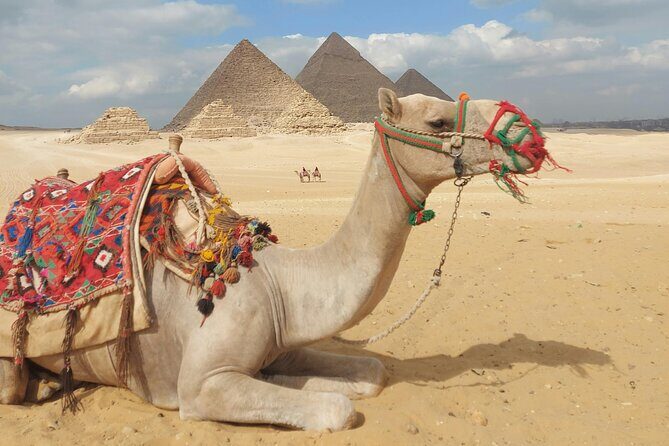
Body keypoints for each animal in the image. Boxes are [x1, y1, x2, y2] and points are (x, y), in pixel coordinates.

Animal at [0, 89, 540, 431]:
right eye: (438, 121)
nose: (526, 133)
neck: (281, 280)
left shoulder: (282, 340)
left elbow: (369, 374)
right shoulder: (202, 385)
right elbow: (336, 409)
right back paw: (40, 387)